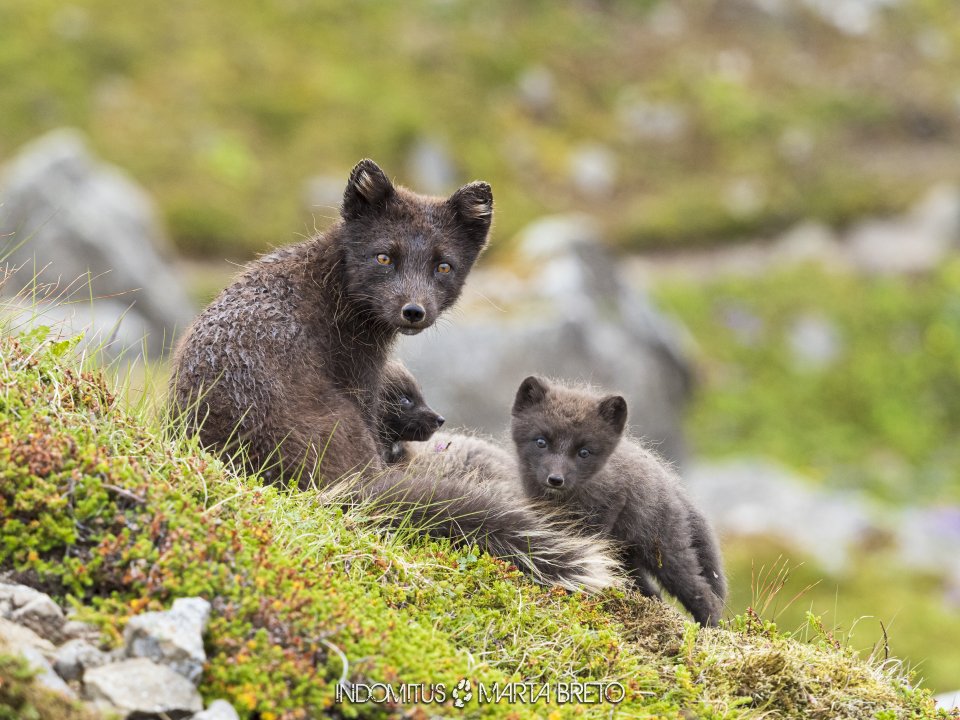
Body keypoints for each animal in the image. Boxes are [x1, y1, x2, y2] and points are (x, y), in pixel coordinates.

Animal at [510, 376, 727, 625]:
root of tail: (673, 486)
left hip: (664, 552)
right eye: (541, 442)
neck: (566, 501)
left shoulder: (606, 512)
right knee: (651, 591)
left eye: (584, 452)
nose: (555, 479)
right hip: (629, 557)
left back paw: (711, 626)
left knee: (700, 590)